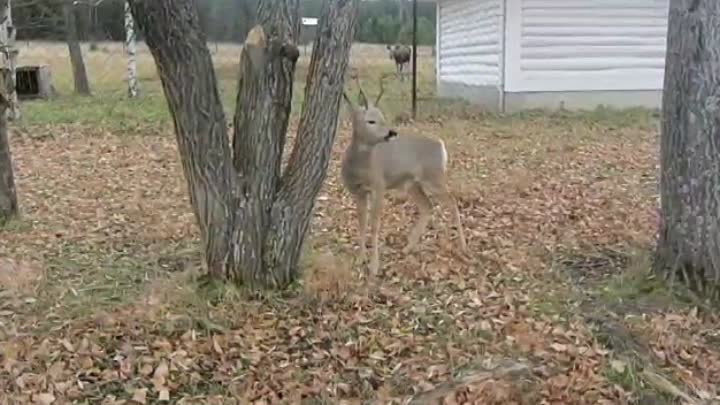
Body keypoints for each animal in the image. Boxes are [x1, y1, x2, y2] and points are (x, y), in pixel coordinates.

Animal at [342, 73, 470, 274]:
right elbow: (361, 223)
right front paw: (360, 259)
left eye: (383, 117)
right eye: (371, 121)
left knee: (452, 202)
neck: (359, 168)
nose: (391, 132)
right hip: (412, 184)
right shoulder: (357, 191)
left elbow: (375, 224)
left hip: (434, 177)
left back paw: (463, 247)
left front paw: (374, 266)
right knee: (427, 207)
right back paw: (408, 247)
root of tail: (441, 146)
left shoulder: (379, 185)